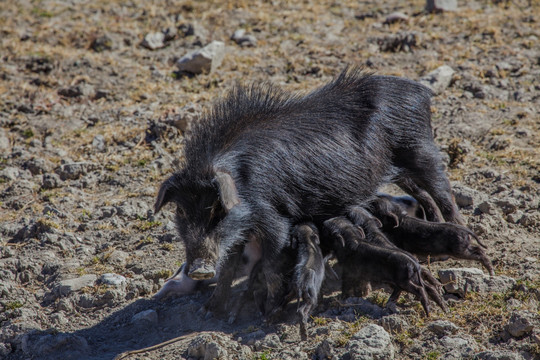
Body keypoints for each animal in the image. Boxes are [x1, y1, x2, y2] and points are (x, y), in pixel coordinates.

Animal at [154, 68, 462, 312]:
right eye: (181, 211)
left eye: (217, 209)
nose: (198, 269)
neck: (244, 184)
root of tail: (419, 90)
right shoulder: (237, 233)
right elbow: (228, 266)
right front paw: (210, 310)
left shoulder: (274, 218)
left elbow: (271, 264)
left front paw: (270, 309)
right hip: (398, 167)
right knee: (423, 194)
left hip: (421, 149)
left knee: (444, 192)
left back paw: (456, 236)